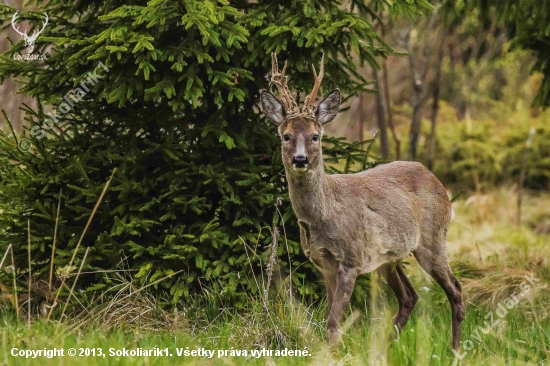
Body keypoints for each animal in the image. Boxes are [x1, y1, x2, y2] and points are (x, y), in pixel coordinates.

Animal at [262, 53, 466, 348]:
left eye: (315, 136)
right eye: (286, 136)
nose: (300, 159)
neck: (325, 214)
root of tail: (438, 183)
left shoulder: (352, 258)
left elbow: (333, 324)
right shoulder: (323, 263)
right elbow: (330, 319)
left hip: (433, 238)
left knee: (456, 289)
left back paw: (455, 349)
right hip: (388, 258)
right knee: (409, 297)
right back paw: (389, 347)